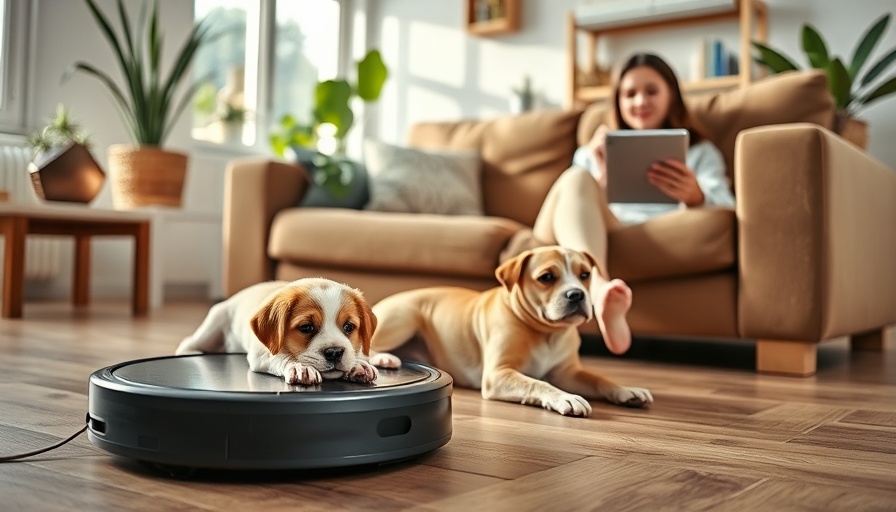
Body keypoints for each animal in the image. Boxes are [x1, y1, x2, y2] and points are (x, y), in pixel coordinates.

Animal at [177, 280, 380, 384]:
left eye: (349, 327)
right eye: (306, 327)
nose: (335, 353)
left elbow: (358, 354)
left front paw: (357, 365)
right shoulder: (261, 353)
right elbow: (281, 357)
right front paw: (300, 367)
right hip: (213, 324)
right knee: (188, 343)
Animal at [368, 246, 656, 418]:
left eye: (585, 275)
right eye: (546, 277)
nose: (577, 294)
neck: (547, 333)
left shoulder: (568, 372)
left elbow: (599, 378)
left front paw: (626, 390)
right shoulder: (499, 374)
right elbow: (537, 383)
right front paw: (565, 397)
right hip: (404, 318)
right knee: (368, 344)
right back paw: (384, 358)